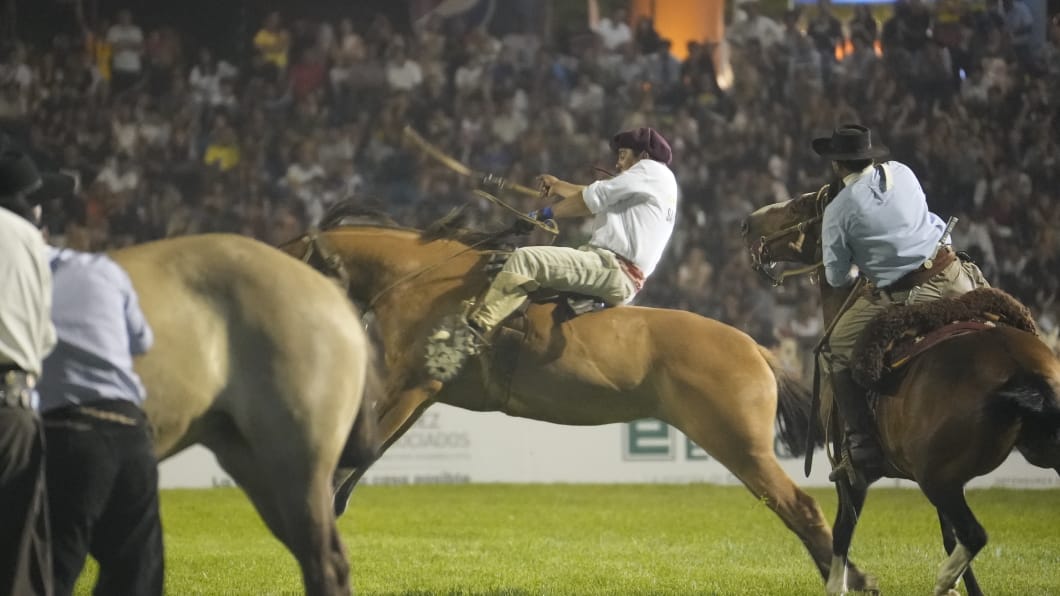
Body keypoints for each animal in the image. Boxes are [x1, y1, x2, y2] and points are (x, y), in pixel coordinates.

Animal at [277, 206, 881, 585]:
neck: (425, 281)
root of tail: (755, 347)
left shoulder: (412, 386)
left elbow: (351, 459)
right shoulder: (422, 393)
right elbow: (364, 458)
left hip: (741, 447)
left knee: (801, 508)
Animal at [741, 186, 1060, 593]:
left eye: (799, 205)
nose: (748, 223)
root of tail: (1021, 368)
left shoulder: (852, 477)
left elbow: (842, 533)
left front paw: (842, 583)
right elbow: (948, 538)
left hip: (937, 478)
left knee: (974, 534)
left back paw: (944, 578)